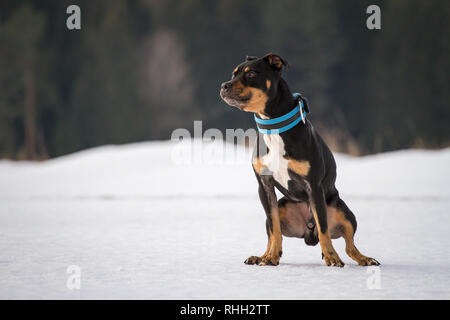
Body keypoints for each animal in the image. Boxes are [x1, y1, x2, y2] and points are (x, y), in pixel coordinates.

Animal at [221, 53, 380, 268]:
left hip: (343, 212)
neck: (273, 127)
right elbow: (275, 229)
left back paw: (364, 258)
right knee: (273, 231)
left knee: (348, 244)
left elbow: (323, 228)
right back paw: (261, 256)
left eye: (252, 73)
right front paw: (270, 257)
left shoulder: (314, 185)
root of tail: (307, 229)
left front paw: (332, 257)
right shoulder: (264, 186)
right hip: (281, 207)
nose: (224, 85)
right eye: (233, 73)